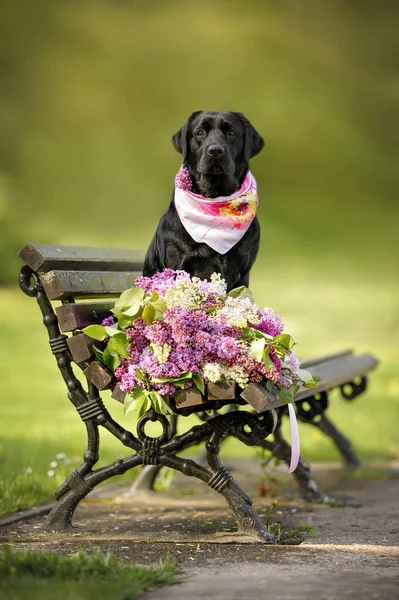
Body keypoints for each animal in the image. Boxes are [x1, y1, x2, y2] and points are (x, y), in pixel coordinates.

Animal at [145, 112, 266, 292]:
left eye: (232, 133)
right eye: (200, 132)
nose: (215, 150)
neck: (214, 197)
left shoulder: (243, 272)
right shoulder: (177, 266)